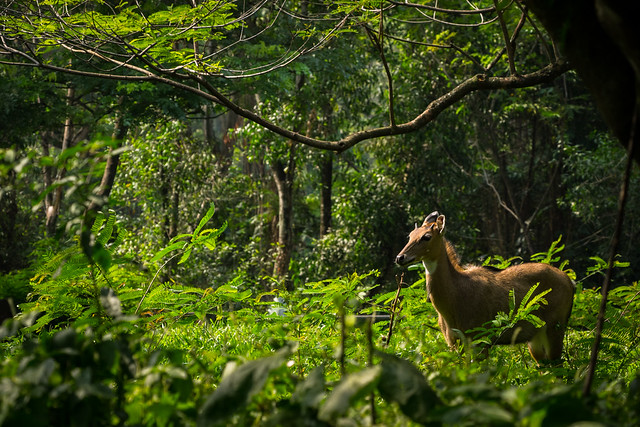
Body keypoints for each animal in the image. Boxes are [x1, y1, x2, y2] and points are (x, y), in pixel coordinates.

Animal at [396, 211, 576, 364]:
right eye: (410, 235)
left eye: (426, 236)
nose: (400, 257)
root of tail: (569, 281)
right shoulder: (453, 342)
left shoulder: (480, 340)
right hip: (535, 338)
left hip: (555, 328)